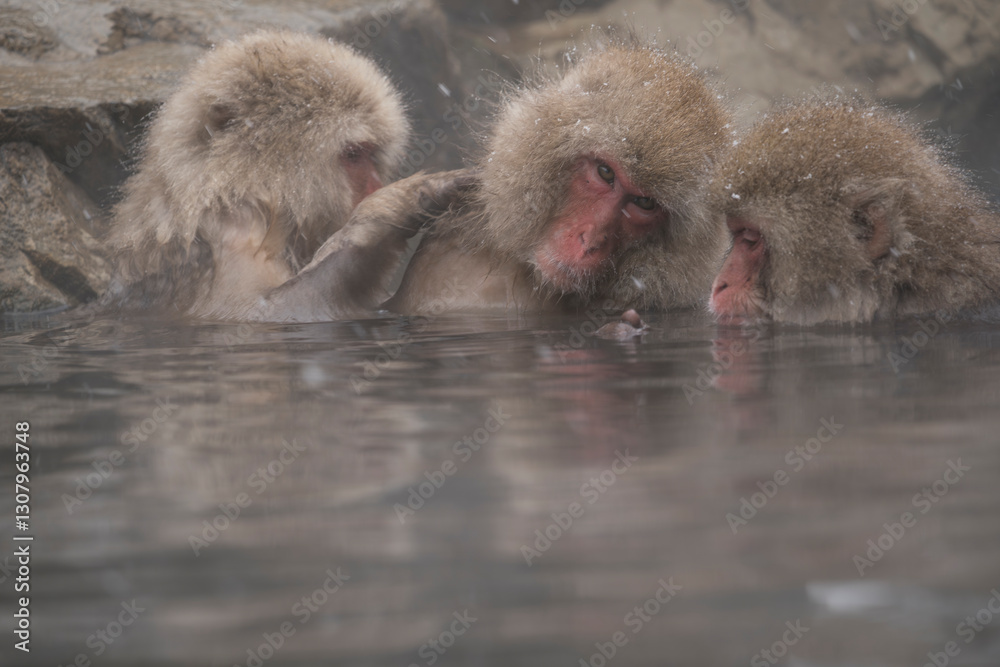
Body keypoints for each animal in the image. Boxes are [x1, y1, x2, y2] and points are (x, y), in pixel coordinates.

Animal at [101, 29, 466, 322]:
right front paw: (397, 206)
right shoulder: (232, 233)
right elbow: (263, 311)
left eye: (372, 154)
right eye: (353, 155)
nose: (376, 186)